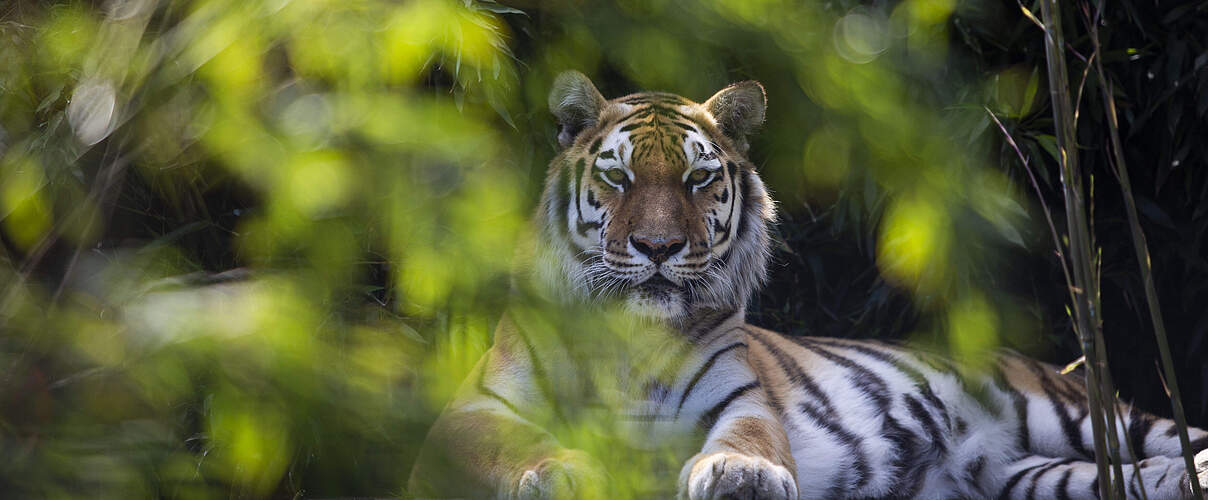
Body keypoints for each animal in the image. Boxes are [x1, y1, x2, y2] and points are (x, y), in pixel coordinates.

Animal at [403, 71, 1208, 500]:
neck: (632, 338)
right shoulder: (473, 408)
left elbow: (750, 436)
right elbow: (511, 443)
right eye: (619, 177)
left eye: (698, 179)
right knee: (1135, 476)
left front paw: (740, 474)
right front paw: (563, 473)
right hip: (1029, 476)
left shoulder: (741, 397)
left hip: (1072, 412)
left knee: (1173, 436)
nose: (659, 247)